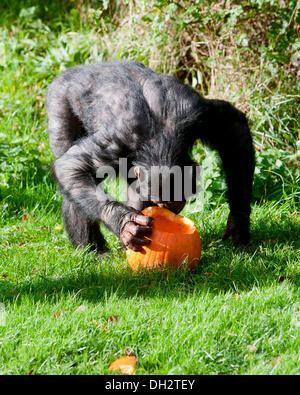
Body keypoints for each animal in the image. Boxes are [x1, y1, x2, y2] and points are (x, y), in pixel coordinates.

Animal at [47, 60, 255, 255]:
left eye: (172, 204)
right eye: (157, 204)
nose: (165, 213)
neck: (161, 138)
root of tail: (74, 70)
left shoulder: (199, 114)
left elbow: (233, 130)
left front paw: (238, 222)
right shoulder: (117, 140)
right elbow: (71, 165)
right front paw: (125, 223)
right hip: (59, 101)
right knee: (71, 177)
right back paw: (94, 251)